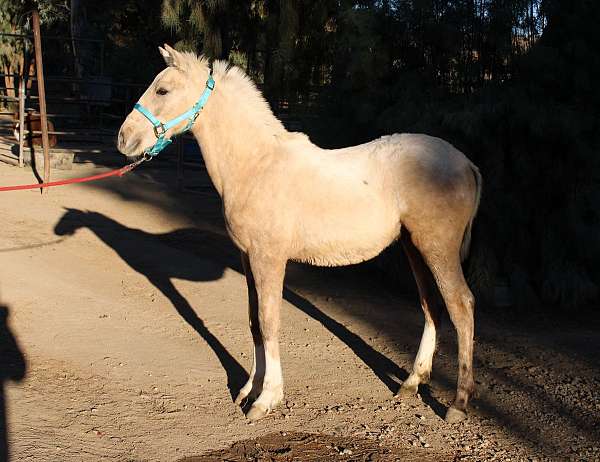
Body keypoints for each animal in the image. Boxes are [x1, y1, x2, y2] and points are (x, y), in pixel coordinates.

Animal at [118, 45, 482, 424]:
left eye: (162, 90)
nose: (124, 139)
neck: (257, 165)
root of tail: (466, 163)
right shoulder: (248, 258)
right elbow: (254, 321)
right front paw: (248, 390)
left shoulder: (269, 259)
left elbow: (269, 321)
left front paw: (266, 399)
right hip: (414, 247)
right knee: (431, 307)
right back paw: (411, 384)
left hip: (437, 248)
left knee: (461, 306)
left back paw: (458, 403)